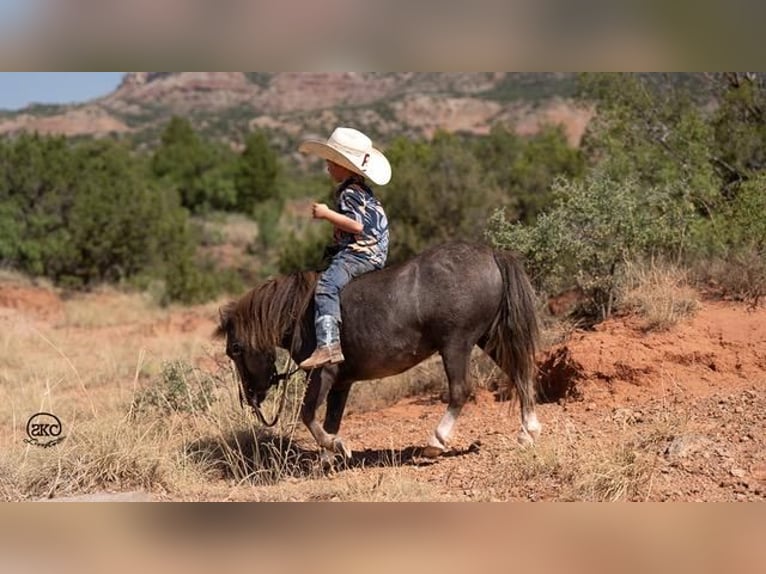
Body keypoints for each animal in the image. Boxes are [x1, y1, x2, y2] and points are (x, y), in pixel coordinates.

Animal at [213, 243, 544, 464]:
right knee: (521, 373)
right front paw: (329, 456)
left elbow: (308, 416)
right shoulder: (341, 382)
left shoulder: (322, 373)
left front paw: (336, 448)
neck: (301, 313)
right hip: (490, 339)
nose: (251, 398)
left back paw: (435, 442)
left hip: (456, 344)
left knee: (461, 391)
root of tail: (492, 255)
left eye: (235, 349)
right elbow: (331, 419)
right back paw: (528, 432)